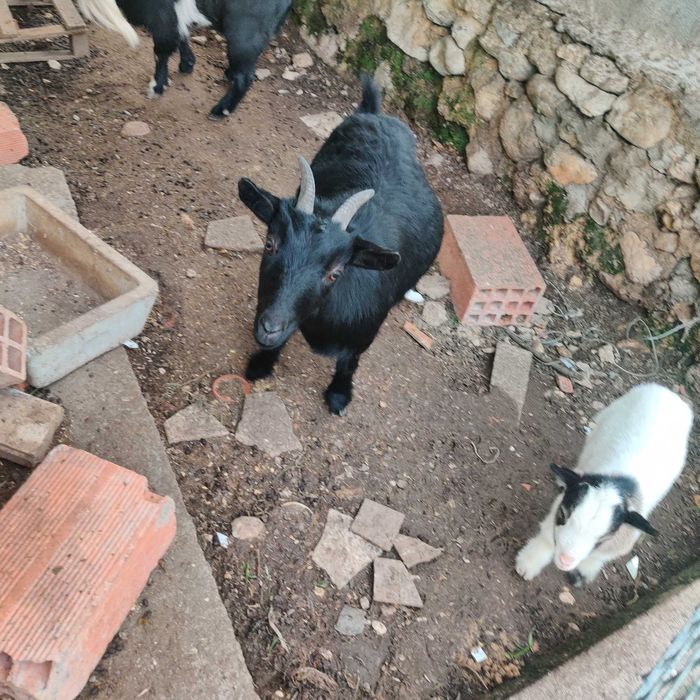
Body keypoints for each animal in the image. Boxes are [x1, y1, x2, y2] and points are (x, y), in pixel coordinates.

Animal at [77, 0, 291, 118]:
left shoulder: (161, 17)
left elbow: (161, 51)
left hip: (244, 32)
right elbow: (180, 36)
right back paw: (228, 75)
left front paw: (157, 87)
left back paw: (221, 110)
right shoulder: (173, 17)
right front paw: (187, 64)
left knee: (245, 75)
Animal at [238, 78, 444, 415]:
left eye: (335, 272)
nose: (268, 328)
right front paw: (260, 363)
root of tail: (375, 114)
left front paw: (338, 396)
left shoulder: (361, 339)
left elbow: (349, 364)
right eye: (270, 244)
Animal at [516, 383, 693, 586]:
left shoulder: (620, 539)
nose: (565, 560)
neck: (620, 484)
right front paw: (528, 564)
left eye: (604, 537)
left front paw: (582, 573)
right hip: (601, 423)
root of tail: (669, 393)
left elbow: (598, 557)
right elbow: (547, 537)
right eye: (563, 514)